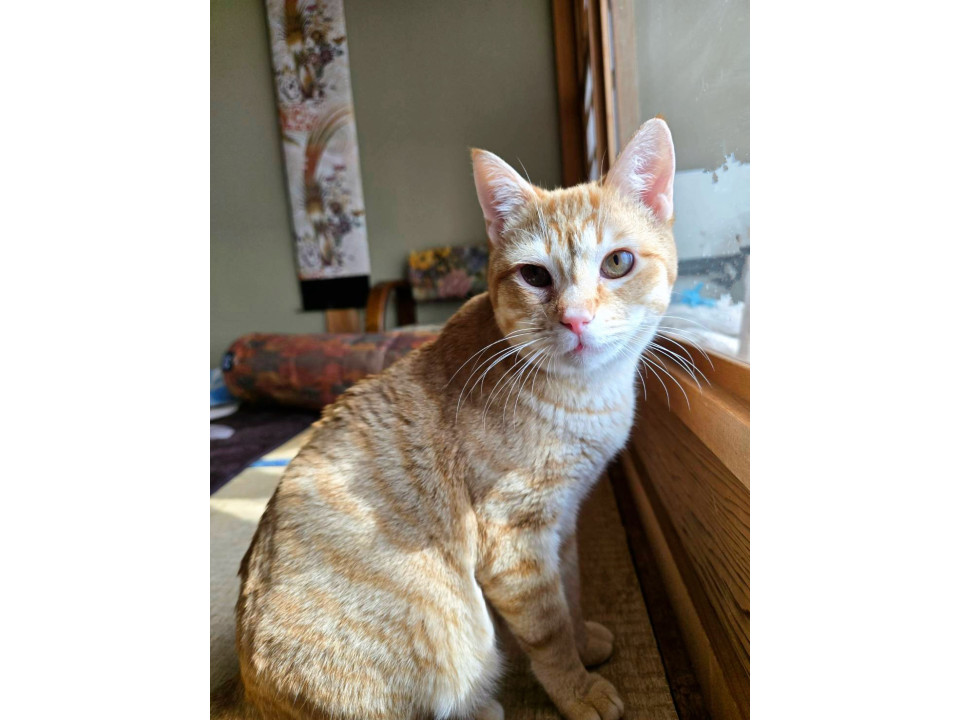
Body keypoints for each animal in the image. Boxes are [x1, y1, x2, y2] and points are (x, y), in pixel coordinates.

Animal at [226, 118, 677, 720]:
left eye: (617, 263)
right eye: (535, 276)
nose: (576, 318)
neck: (587, 398)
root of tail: (248, 697)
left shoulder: (562, 521)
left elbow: (573, 589)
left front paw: (586, 645)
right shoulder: (513, 536)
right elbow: (549, 627)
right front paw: (577, 688)